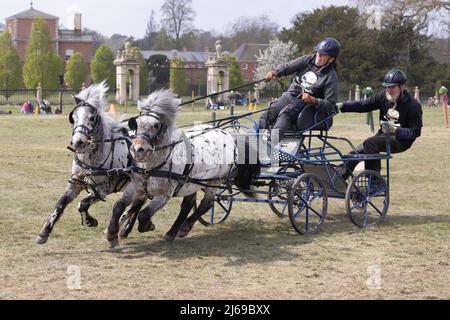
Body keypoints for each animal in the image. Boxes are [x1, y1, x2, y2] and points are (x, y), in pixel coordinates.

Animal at [37, 81, 146, 244]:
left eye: (92, 118)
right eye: (73, 117)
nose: (78, 142)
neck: (91, 158)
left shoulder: (103, 189)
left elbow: (82, 204)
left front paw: (90, 221)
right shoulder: (75, 183)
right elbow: (61, 203)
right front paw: (44, 232)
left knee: (138, 203)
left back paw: (124, 229)